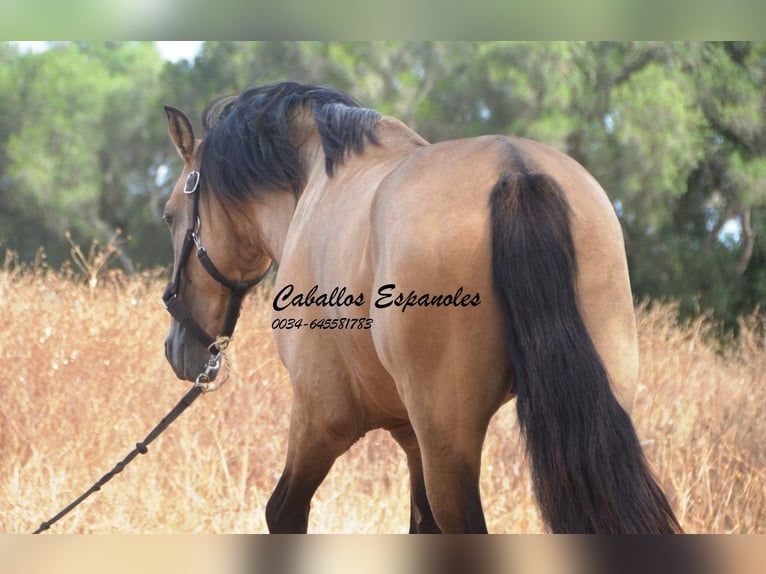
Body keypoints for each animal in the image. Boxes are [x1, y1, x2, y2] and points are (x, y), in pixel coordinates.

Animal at [162, 81, 684, 536]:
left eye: (168, 217)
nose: (176, 349)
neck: (314, 180)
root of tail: (514, 170)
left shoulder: (320, 415)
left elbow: (283, 512)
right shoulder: (411, 436)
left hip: (447, 441)